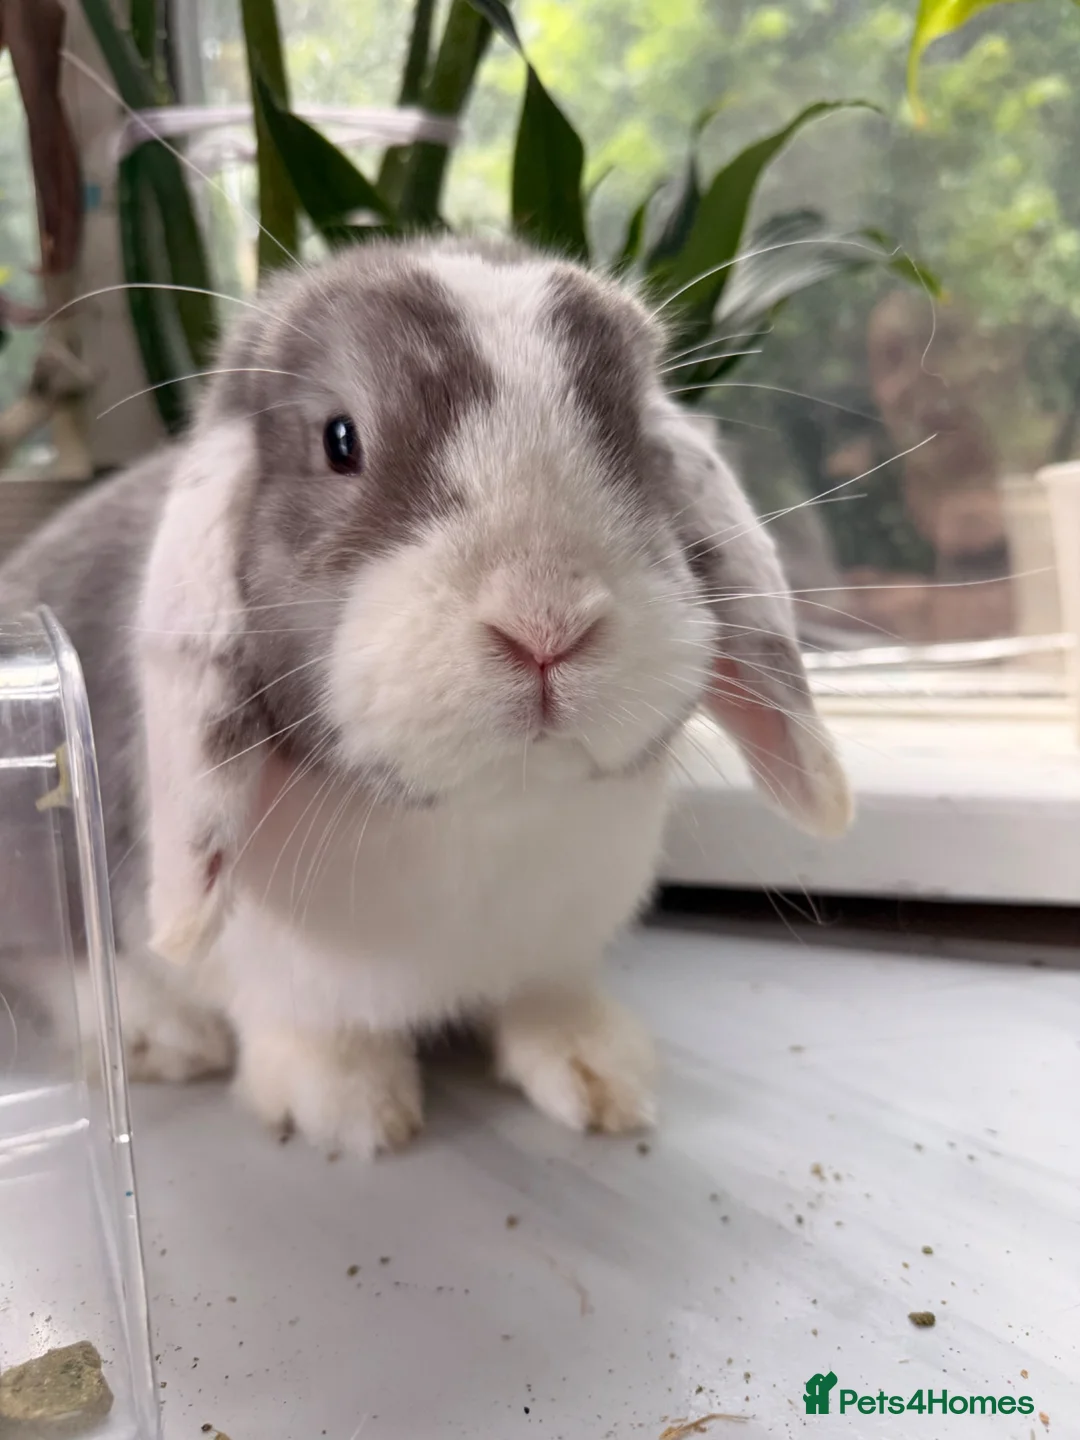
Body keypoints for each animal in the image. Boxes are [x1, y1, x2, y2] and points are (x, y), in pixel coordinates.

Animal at [0, 236, 852, 1156]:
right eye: (340, 440)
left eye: (637, 440)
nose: (546, 624)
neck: (487, 814)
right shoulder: (284, 979)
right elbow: (312, 1030)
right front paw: (352, 1113)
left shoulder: (553, 952)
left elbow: (548, 1003)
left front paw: (601, 1075)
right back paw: (163, 1037)